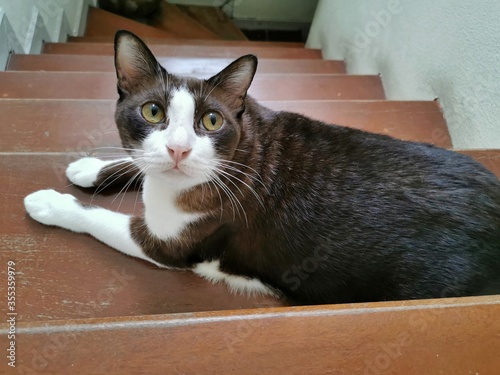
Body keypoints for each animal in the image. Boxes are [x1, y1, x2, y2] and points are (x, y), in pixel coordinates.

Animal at [24, 29, 500, 306]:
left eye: (210, 121)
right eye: (153, 111)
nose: (179, 149)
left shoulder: (170, 244)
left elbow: (100, 218)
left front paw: (50, 203)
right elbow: (137, 162)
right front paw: (91, 167)